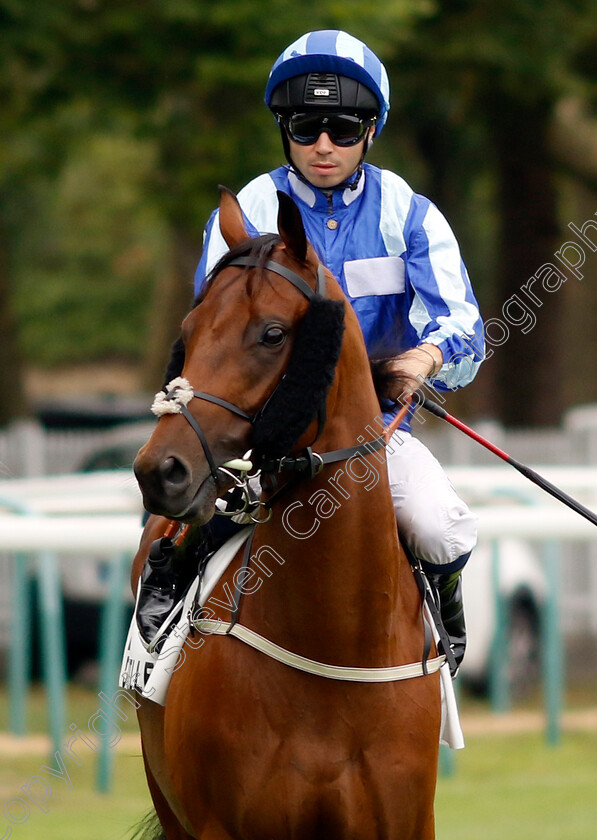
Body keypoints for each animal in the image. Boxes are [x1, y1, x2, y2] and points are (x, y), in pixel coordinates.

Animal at [130, 187, 442, 836]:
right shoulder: (221, 825)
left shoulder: (407, 820)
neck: (335, 645)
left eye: (272, 334)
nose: (159, 470)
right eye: (189, 330)